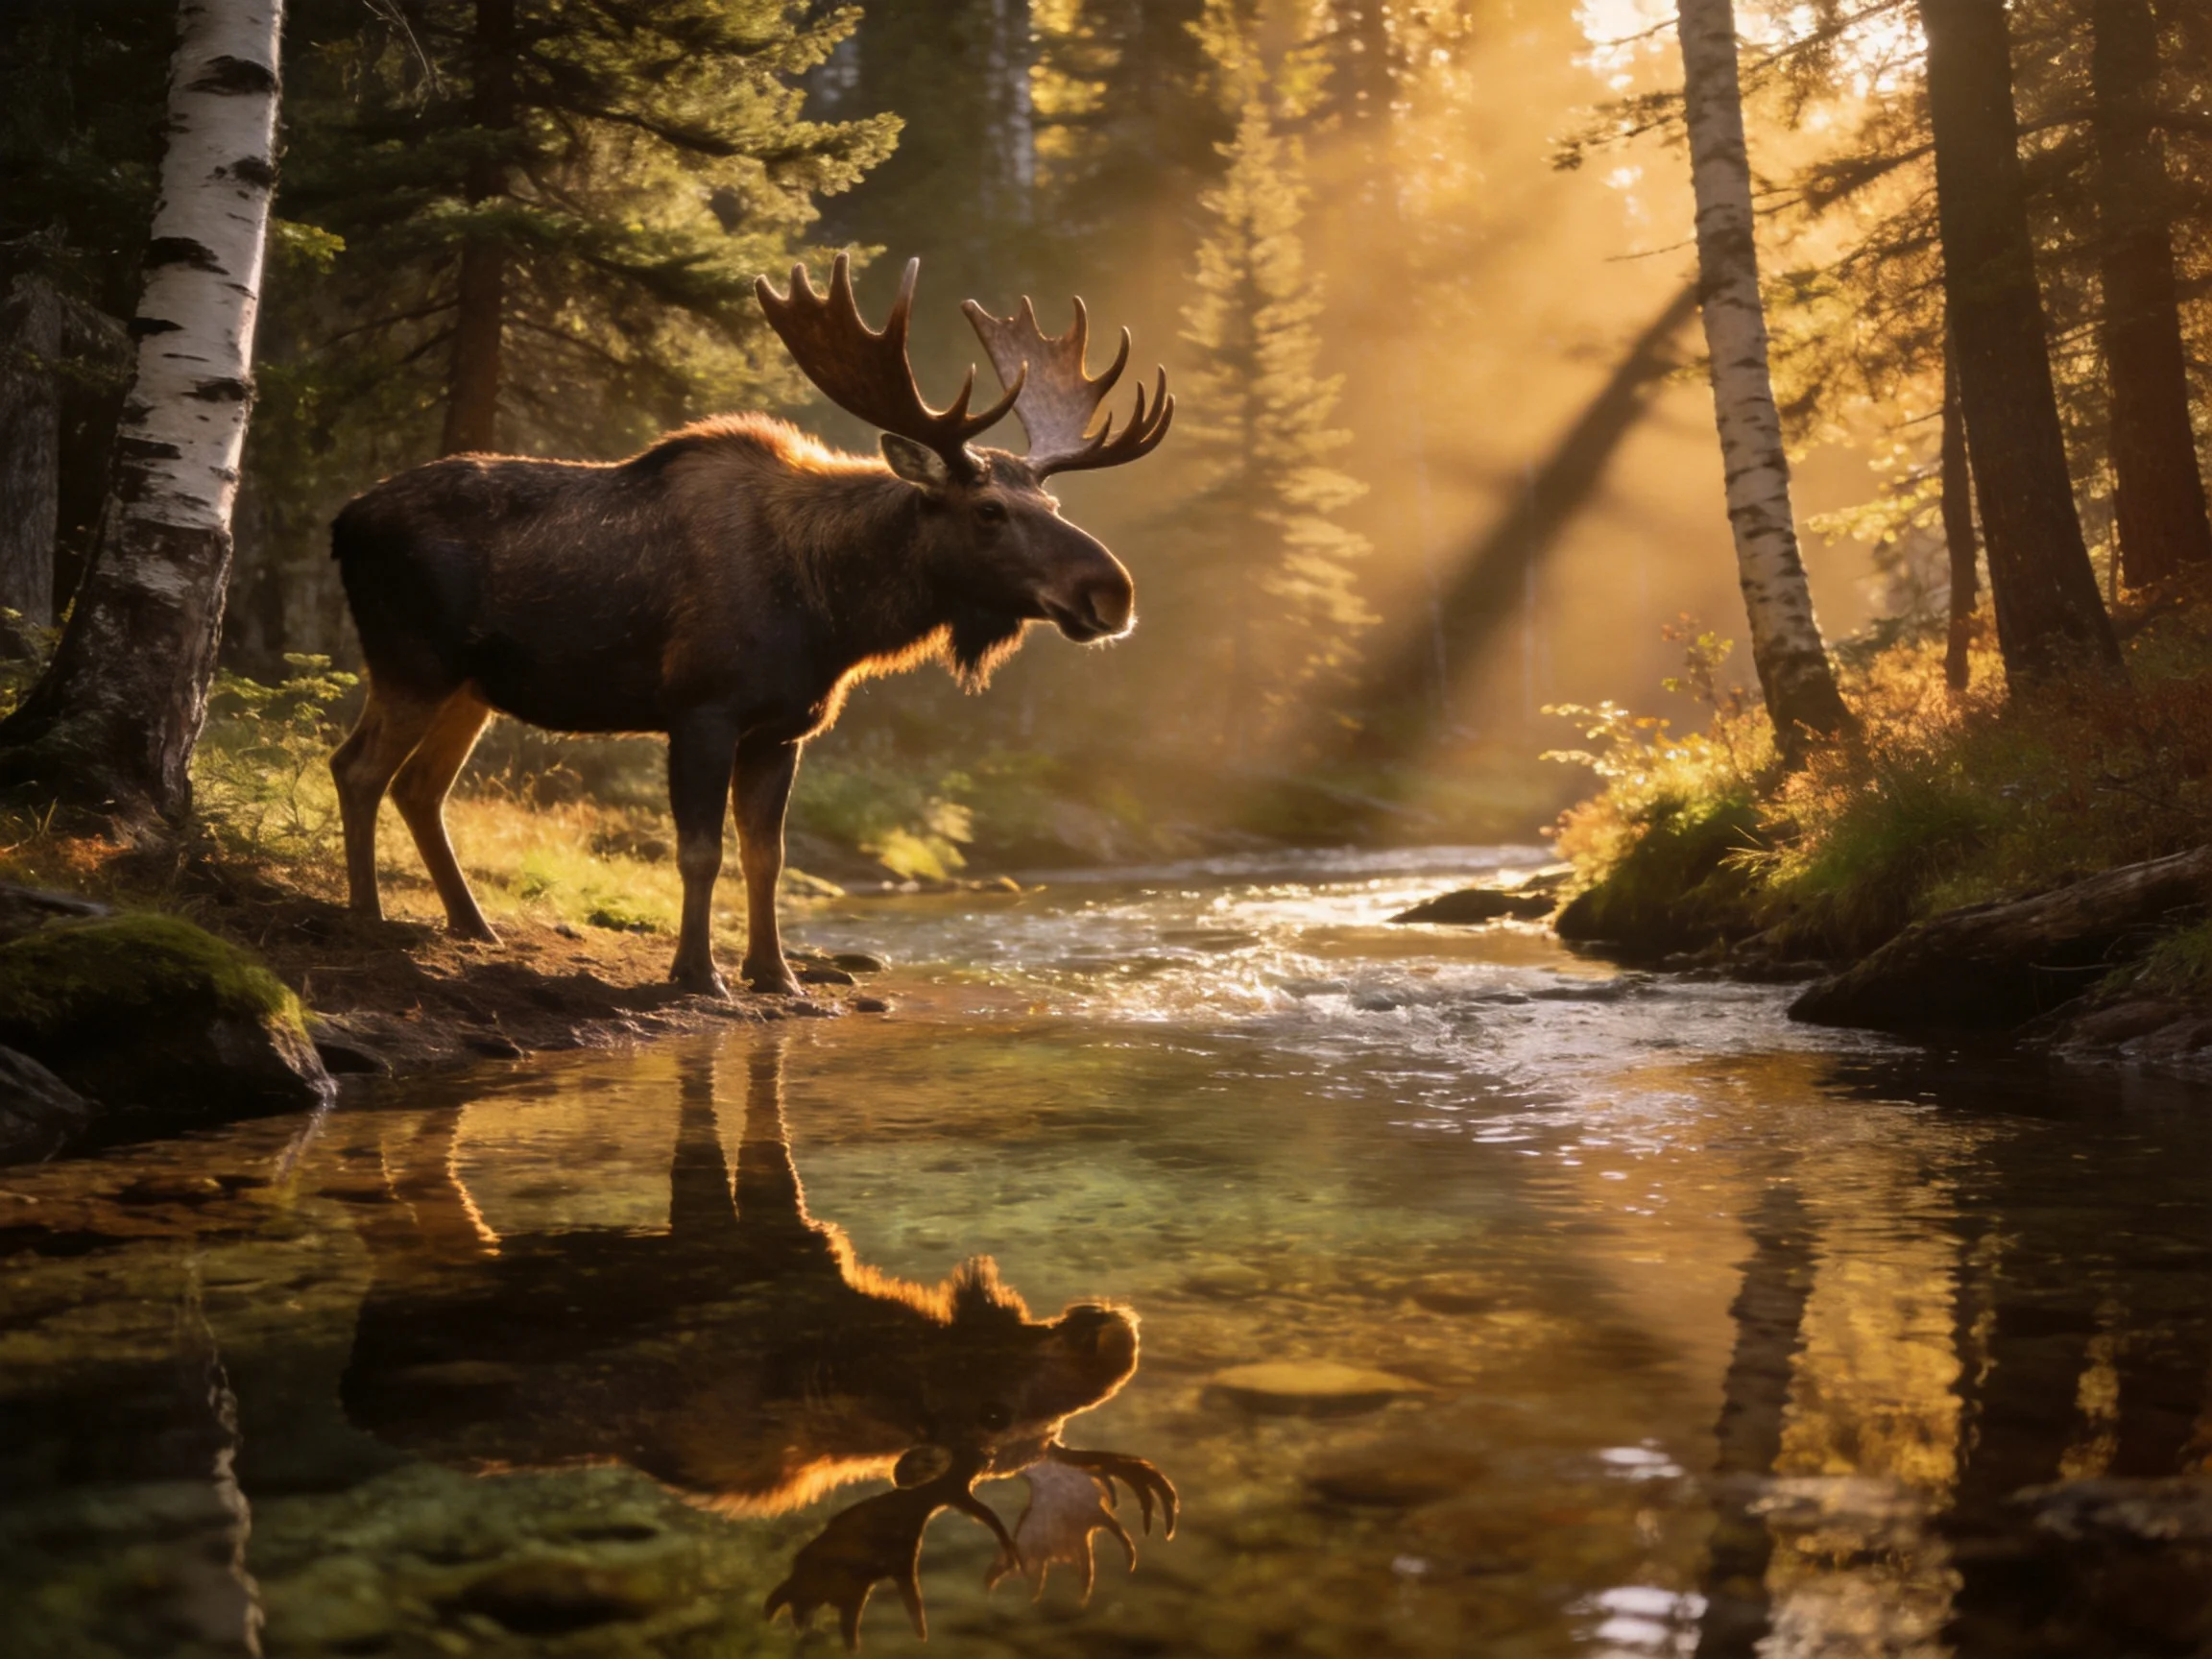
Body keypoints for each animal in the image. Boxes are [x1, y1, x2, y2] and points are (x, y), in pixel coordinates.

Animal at [329, 254, 1172, 995]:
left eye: (1051, 503)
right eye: (990, 510)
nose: (1113, 593)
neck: (834, 615)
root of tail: (342, 521)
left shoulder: (782, 729)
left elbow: (768, 855)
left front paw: (777, 973)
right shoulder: (702, 710)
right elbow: (701, 851)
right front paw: (698, 973)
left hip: (470, 685)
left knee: (419, 788)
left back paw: (474, 924)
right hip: (412, 661)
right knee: (359, 768)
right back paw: (367, 916)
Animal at [336, 1036, 1177, 1649]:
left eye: (1053, 1438)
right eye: (994, 1416)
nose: (1113, 1340)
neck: (843, 1351)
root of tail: (350, 1394)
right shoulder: (732, 1234)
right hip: (427, 1273)